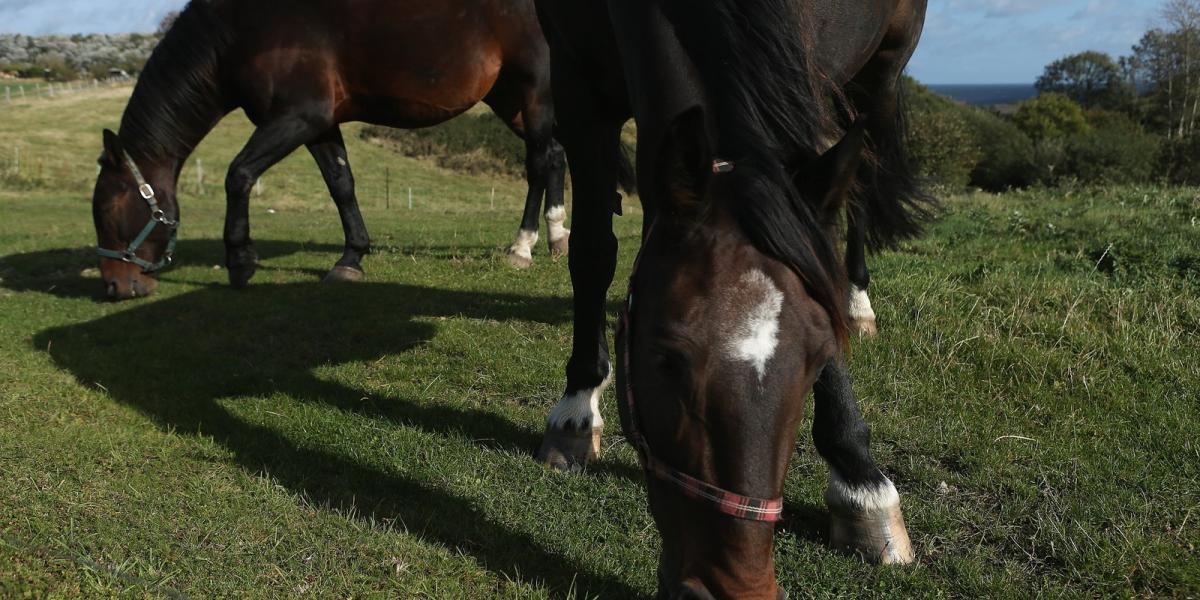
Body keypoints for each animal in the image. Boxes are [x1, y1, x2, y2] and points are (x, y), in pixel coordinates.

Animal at [88, 0, 566, 298]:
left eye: (109, 210)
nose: (113, 286)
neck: (243, 28)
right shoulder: (320, 126)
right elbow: (341, 185)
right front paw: (351, 258)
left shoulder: (299, 117)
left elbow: (238, 175)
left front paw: (240, 261)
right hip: (510, 99)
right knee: (557, 156)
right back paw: (558, 236)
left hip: (535, 88)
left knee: (539, 161)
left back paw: (522, 247)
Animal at [537, 0, 936, 595]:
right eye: (664, 360)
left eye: (820, 358)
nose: (737, 587)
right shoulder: (575, 75)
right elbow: (592, 249)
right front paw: (577, 406)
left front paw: (860, 481)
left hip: (879, 75)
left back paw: (860, 301)